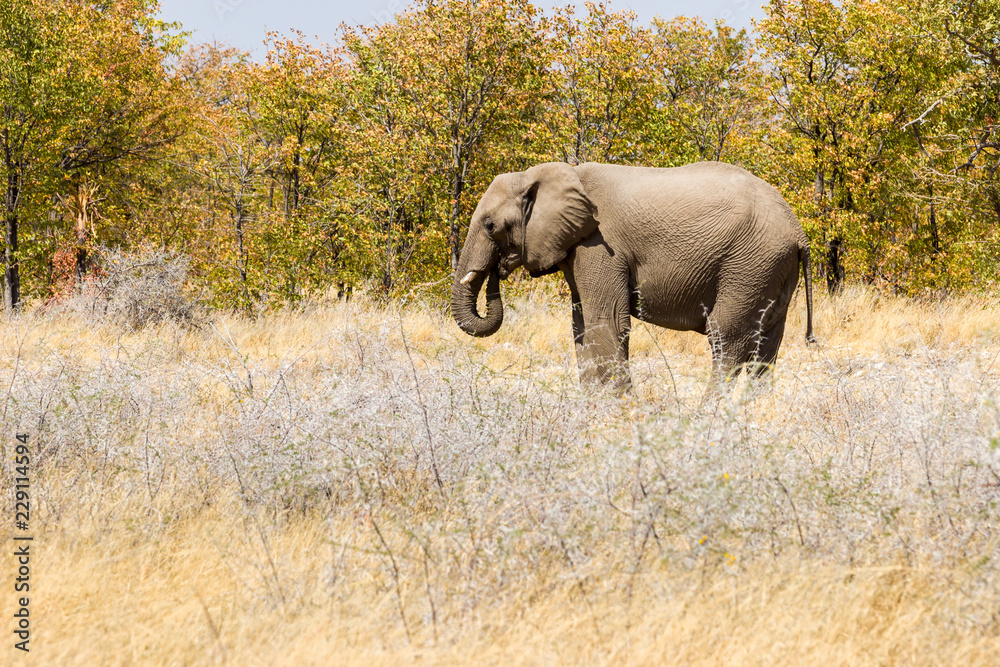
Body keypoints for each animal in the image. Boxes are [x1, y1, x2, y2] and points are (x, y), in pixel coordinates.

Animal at [450, 161, 816, 392]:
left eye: (490, 225)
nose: (498, 269)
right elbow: (581, 326)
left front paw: (622, 412)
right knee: (766, 348)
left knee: (727, 341)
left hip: (748, 266)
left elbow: (606, 322)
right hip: (771, 269)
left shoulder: (600, 246)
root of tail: (799, 231)